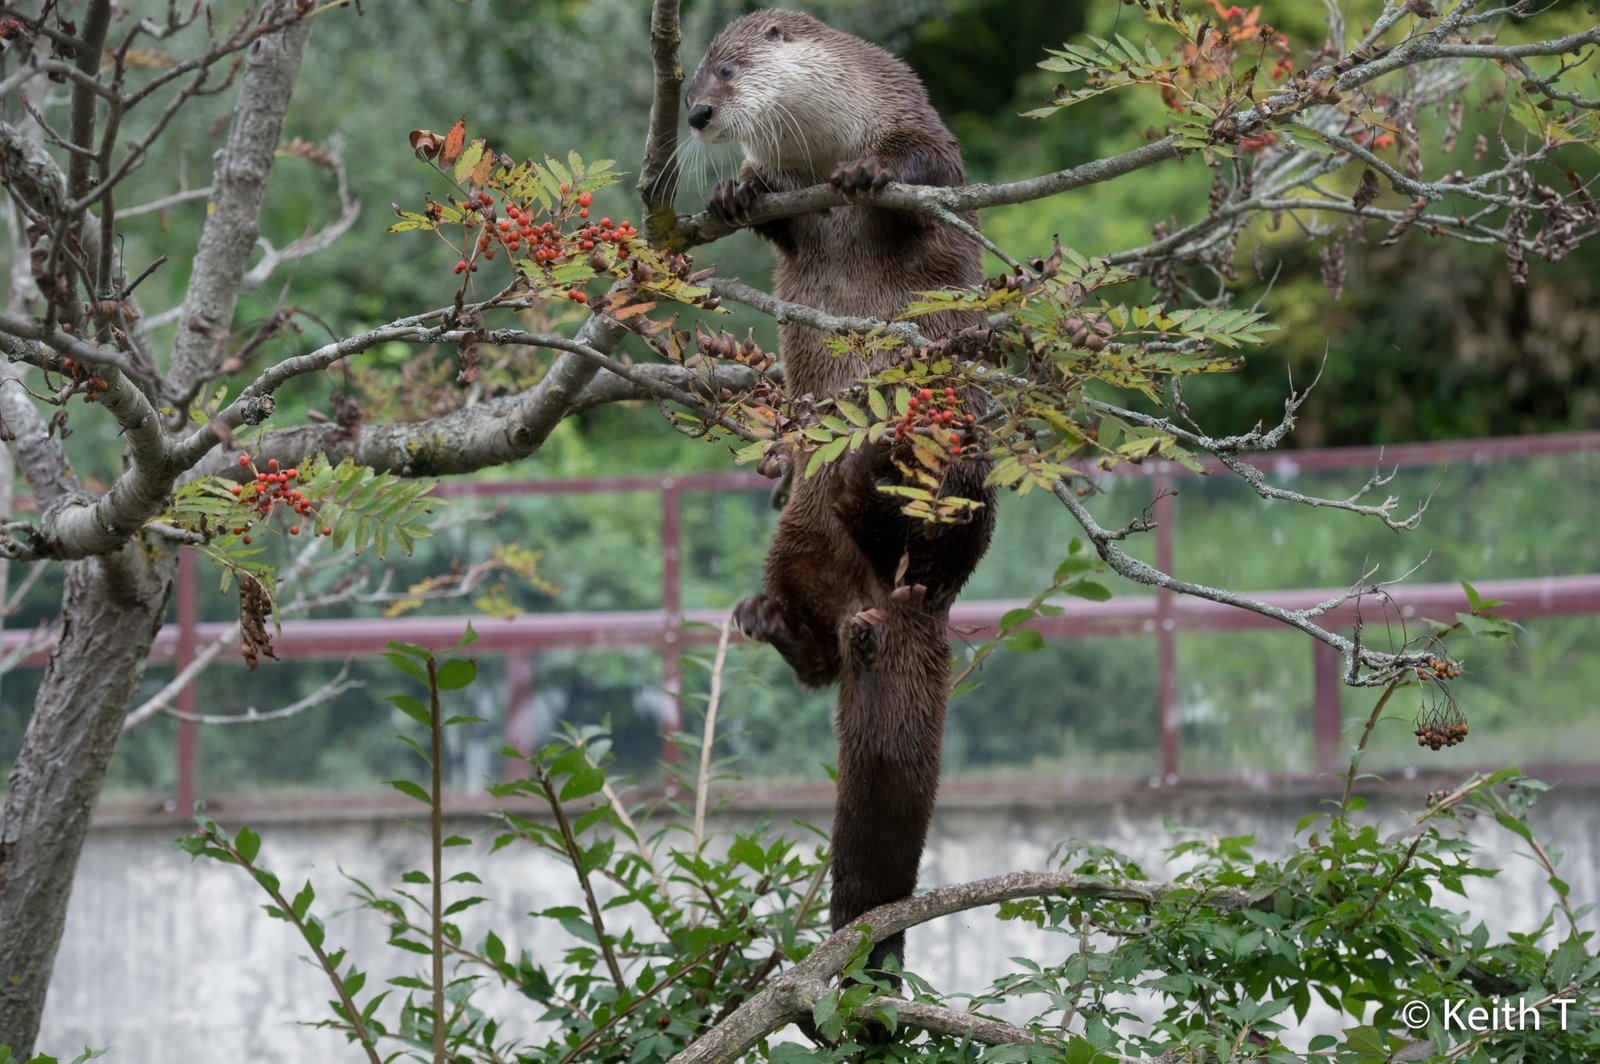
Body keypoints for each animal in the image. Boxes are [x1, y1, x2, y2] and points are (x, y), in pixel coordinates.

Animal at [691, 8, 998, 972]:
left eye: (728, 66)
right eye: (693, 74)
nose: (698, 114)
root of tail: (891, 605)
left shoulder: (912, 116)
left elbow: (928, 165)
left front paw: (865, 174)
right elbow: (780, 220)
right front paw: (739, 189)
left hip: (964, 462)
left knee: (944, 540)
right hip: (798, 535)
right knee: (820, 657)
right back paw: (777, 620)